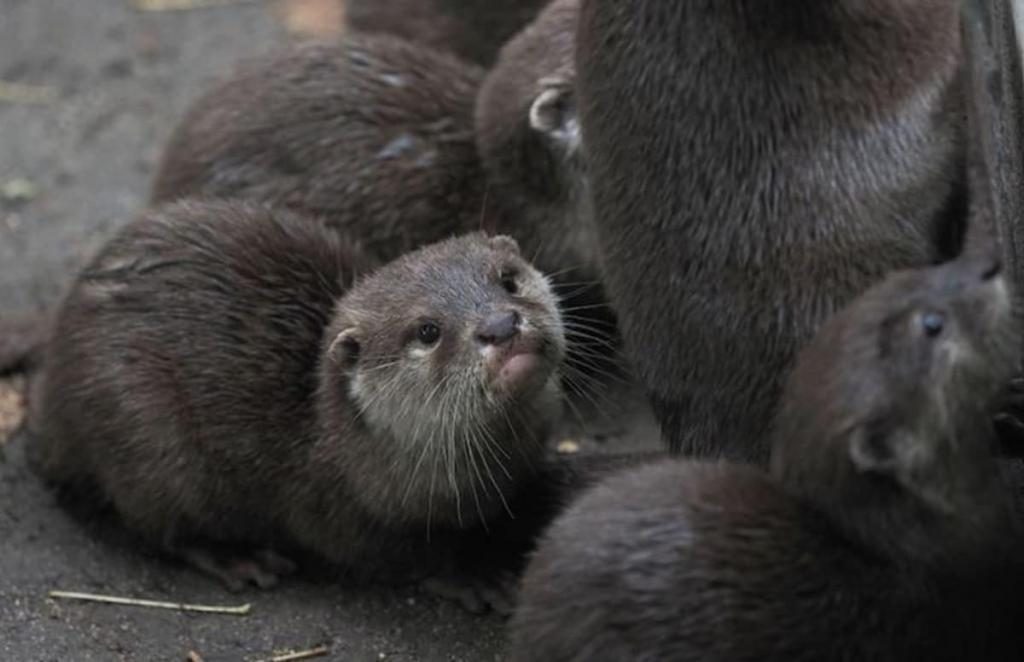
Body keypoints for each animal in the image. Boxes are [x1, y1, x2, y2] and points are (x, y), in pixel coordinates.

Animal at [28, 199, 569, 610]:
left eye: (507, 280)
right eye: (427, 331)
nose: (500, 325)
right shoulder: (345, 513)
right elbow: (407, 556)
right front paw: (474, 574)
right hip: (147, 437)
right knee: (162, 527)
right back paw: (240, 558)